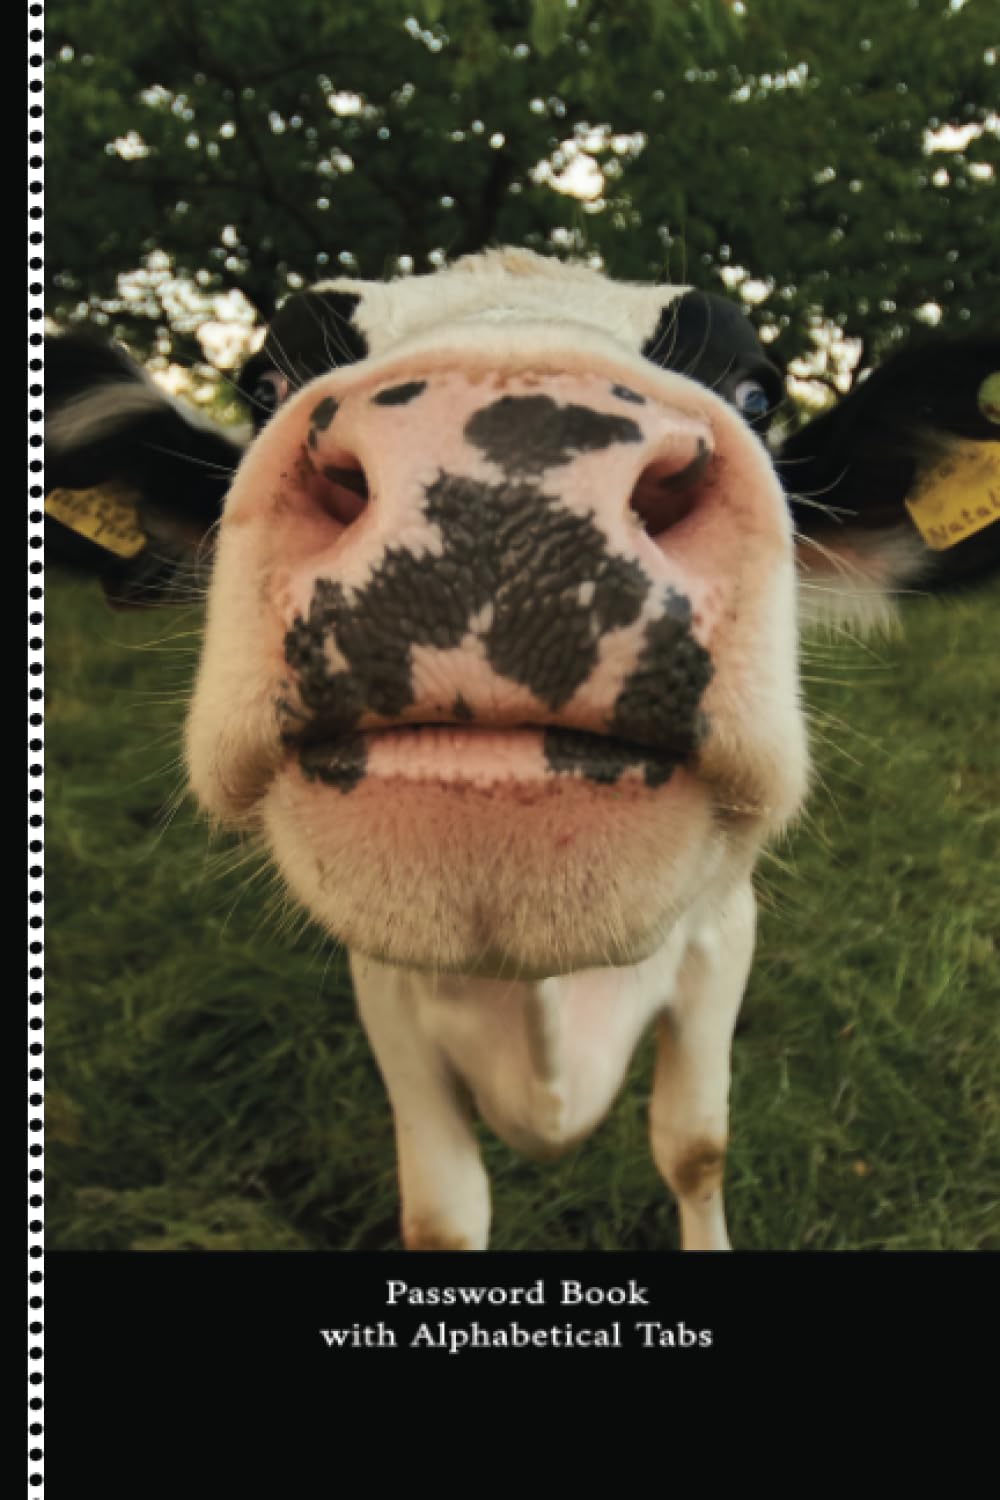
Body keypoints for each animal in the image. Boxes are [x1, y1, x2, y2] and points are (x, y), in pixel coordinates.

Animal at [45, 248, 1000, 1250]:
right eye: (265, 383)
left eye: (755, 391)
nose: (500, 485)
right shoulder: (385, 985)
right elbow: (444, 1213)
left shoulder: (722, 931)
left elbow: (696, 1147)